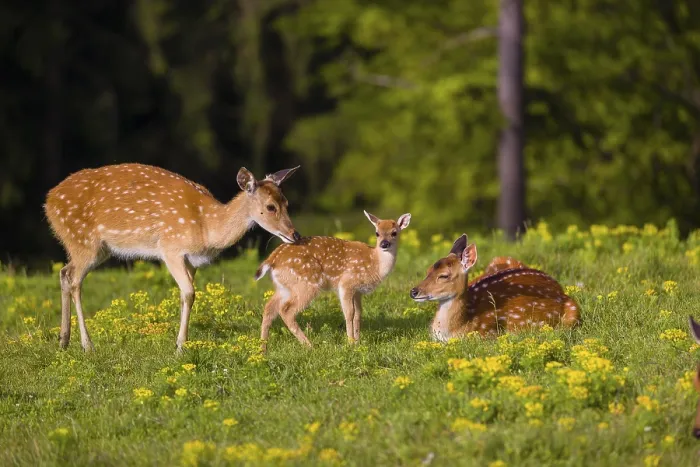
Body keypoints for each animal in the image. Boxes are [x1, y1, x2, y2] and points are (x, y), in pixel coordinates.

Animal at [44, 162, 302, 353]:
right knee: (75, 281)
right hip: (83, 241)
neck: (207, 227)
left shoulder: (192, 259)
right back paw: (87, 345)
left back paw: (63, 341)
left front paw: (181, 342)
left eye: (287, 202)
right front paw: (180, 348)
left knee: (64, 272)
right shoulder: (170, 247)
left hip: (97, 249)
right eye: (270, 207)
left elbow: (184, 295)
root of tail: (48, 202)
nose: (295, 235)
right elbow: (189, 293)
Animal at [255, 211, 411, 348]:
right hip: (306, 284)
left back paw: (263, 349)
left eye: (394, 233)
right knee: (286, 310)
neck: (375, 263)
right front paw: (350, 343)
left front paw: (357, 341)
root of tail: (273, 258)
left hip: (284, 286)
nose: (384, 244)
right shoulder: (346, 283)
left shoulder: (358, 291)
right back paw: (309, 346)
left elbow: (358, 314)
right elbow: (349, 313)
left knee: (269, 308)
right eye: (377, 233)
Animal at [409, 234, 580, 341]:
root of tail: (556, 284)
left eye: (444, 275)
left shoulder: (488, 335)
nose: (414, 291)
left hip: (573, 311)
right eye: (428, 270)